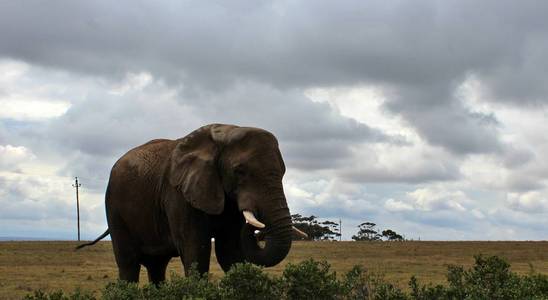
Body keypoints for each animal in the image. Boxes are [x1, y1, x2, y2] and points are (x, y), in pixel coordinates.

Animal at [75, 123, 306, 284]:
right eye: (239, 171)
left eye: (283, 172)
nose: (255, 224)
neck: (225, 132)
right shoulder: (178, 194)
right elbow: (195, 249)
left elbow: (230, 252)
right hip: (114, 207)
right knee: (128, 264)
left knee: (156, 267)